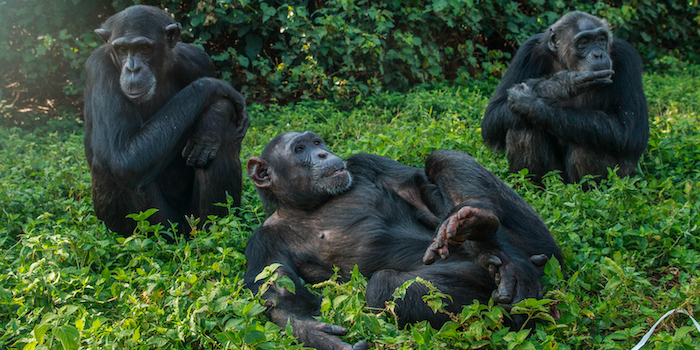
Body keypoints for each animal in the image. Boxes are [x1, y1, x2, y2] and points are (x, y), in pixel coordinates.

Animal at [83, 5, 250, 237]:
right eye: (122, 49)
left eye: (144, 48)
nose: (132, 68)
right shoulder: (99, 67)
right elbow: (120, 157)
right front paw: (215, 86)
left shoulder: (199, 59)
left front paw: (213, 121)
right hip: (160, 224)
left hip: (190, 218)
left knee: (223, 140)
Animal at [245, 131, 564, 350]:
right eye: (300, 149)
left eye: (317, 142)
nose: (323, 154)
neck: (310, 205)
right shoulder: (262, 244)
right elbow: (282, 298)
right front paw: (321, 336)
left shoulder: (365, 163)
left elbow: (418, 190)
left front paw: (476, 227)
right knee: (383, 286)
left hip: (541, 246)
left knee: (442, 159)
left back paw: (492, 239)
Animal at [482, 11, 652, 185]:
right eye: (584, 42)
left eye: (601, 39)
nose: (598, 54)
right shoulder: (527, 52)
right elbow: (492, 117)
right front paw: (563, 83)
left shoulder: (627, 58)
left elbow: (629, 130)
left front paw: (528, 102)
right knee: (522, 127)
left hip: (618, 177)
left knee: (592, 134)